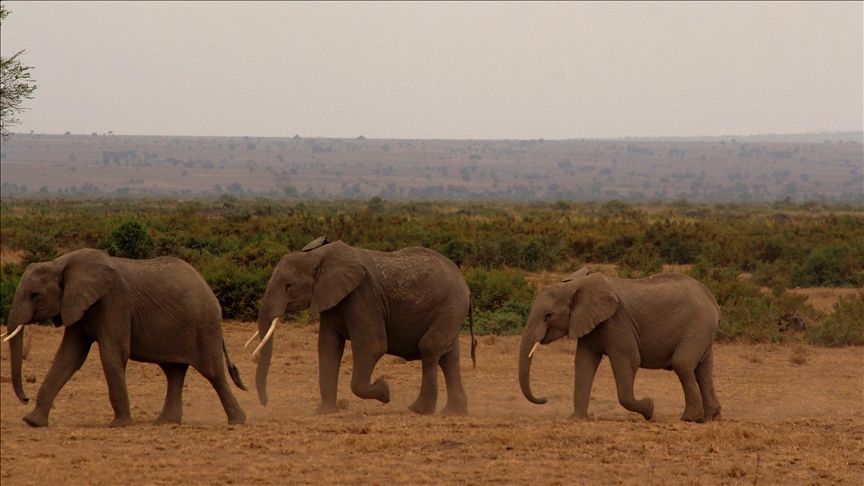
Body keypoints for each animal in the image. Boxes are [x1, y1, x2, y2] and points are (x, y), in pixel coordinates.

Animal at [4, 248, 247, 427]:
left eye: (35, 295)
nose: (25, 398)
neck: (61, 263)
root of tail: (209, 289)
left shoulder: (114, 302)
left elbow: (112, 354)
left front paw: (119, 425)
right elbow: (68, 356)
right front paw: (33, 422)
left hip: (204, 326)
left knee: (212, 372)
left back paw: (237, 422)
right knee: (174, 372)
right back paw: (164, 423)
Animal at [250, 236, 476, 415]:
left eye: (288, 286)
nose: (265, 404)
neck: (320, 256)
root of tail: (466, 286)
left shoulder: (363, 296)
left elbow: (372, 347)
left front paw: (384, 390)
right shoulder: (332, 299)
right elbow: (328, 347)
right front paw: (324, 412)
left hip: (449, 306)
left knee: (430, 348)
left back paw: (418, 410)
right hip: (450, 312)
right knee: (449, 357)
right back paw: (453, 412)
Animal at [519, 268, 721, 422]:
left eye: (548, 315)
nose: (544, 398)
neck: (576, 286)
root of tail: (712, 299)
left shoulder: (617, 322)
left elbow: (627, 360)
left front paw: (649, 408)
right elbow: (584, 363)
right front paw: (576, 419)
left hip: (699, 325)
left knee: (683, 363)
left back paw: (689, 418)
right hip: (702, 330)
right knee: (703, 370)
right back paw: (710, 417)